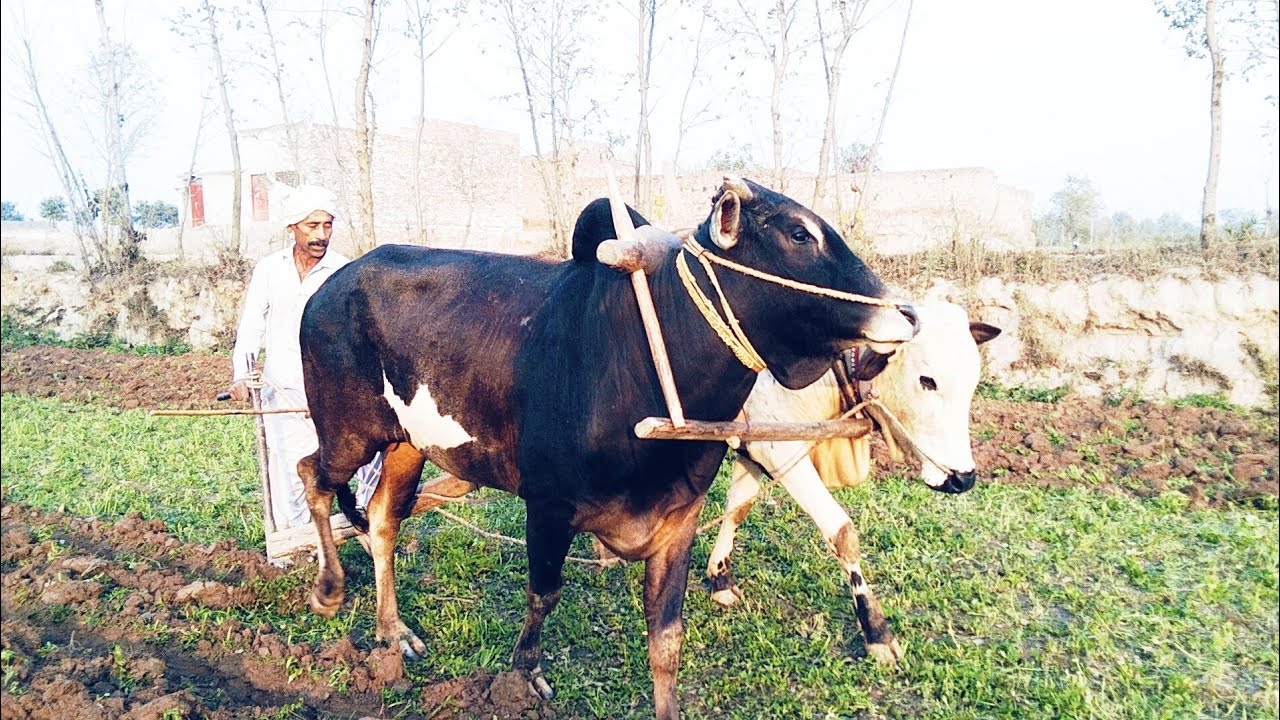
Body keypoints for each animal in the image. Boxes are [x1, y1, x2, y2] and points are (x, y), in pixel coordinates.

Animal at [295, 177, 918, 720]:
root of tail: (330, 285)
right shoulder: (548, 506)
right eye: (799, 234)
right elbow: (543, 594)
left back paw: (392, 631)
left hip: (407, 444)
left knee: (382, 518)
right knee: (312, 476)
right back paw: (329, 591)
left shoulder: (678, 520)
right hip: (347, 432)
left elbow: (666, 640)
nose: (908, 313)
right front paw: (525, 674)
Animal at [703, 301, 1001, 664]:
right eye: (927, 380)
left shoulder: (754, 446)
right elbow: (842, 533)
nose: (963, 477)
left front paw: (720, 579)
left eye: (973, 383)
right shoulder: (781, 452)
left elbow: (737, 509)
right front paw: (877, 632)